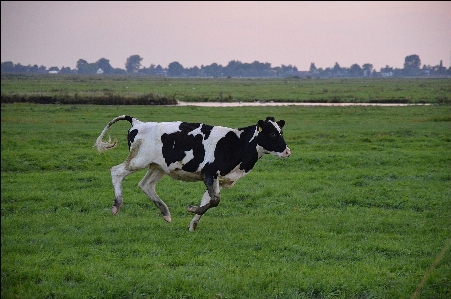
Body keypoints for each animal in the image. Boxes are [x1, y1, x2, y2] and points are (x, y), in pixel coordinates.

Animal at [96, 115, 292, 232]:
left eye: (281, 132)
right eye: (272, 134)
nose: (287, 151)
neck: (238, 142)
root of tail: (138, 123)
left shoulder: (217, 178)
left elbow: (209, 201)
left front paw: (193, 224)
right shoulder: (209, 173)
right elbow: (215, 200)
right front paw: (191, 209)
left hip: (158, 166)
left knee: (146, 185)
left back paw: (165, 213)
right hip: (138, 160)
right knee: (116, 172)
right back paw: (116, 205)